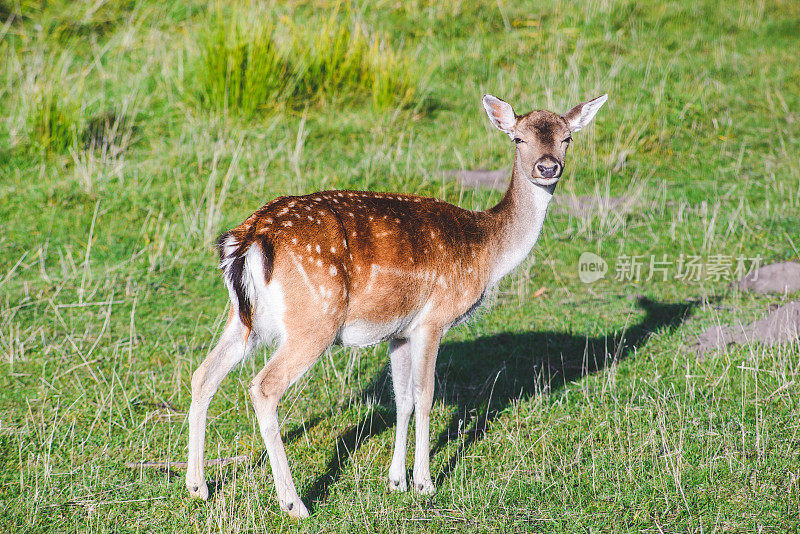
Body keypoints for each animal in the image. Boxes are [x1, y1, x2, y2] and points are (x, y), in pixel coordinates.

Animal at [188, 93, 608, 520]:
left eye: (567, 138)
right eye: (519, 139)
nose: (547, 167)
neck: (487, 252)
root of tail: (250, 237)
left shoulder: (399, 331)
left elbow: (401, 399)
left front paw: (395, 480)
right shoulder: (434, 318)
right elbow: (425, 395)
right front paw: (424, 483)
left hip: (245, 318)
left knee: (203, 373)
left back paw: (198, 486)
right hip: (314, 318)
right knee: (263, 387)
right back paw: (294, 503)